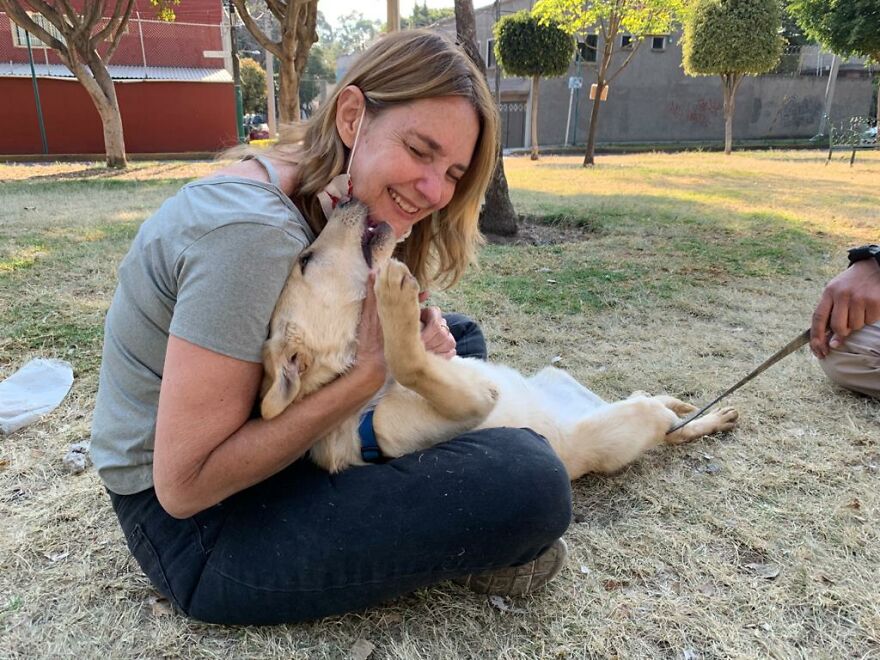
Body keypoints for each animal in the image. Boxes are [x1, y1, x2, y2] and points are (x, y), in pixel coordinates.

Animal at [260, 199, 736, 476]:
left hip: (562, 379)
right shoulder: (468, 401)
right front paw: (395, 301)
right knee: (666, 423)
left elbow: (418, 357)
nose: (347, 196)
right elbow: (410, 362)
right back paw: (705, 417)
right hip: (627, 423)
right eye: (305, 260)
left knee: (656, 404)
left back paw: (695, 407)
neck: (372, 397)